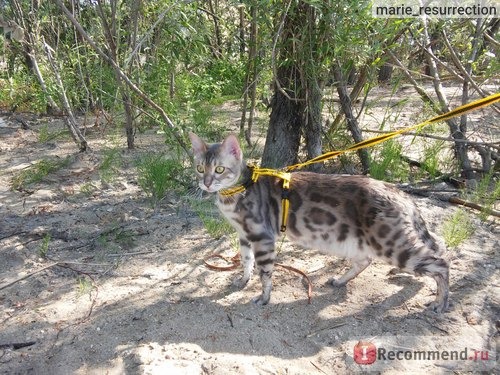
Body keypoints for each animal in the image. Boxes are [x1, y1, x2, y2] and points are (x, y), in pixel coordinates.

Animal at [188, 132, 450, 314]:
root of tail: (400, 192)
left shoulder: (262, 237)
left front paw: (264, 297)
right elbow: (246, 261)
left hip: (390, 244)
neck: (236, 192)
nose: (206, 183)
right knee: (366, 260)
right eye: (200, 168)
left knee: (441, 263)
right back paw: (340, 280)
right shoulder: (244, 235)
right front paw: (243, 280)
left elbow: (265, 272)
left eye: (220, 169)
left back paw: (440, 302)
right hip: (355, 241)